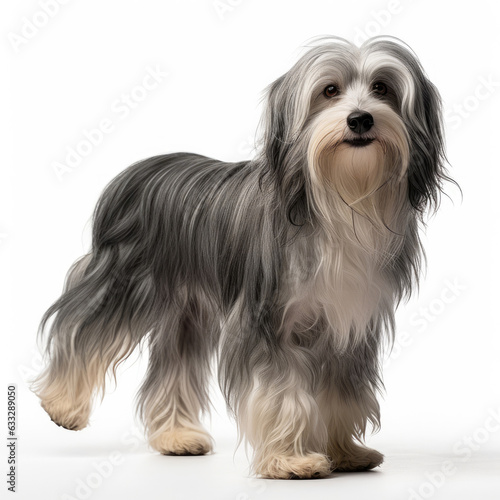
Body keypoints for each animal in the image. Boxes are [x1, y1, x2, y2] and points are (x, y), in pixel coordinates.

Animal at [33, 36, 452, 480]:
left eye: (382, 88)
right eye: (329, 90)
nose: (360, 120)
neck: (338, 201)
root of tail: (135, 170)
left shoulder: (350, 324)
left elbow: (343, 391)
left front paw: (344, 452)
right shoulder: (269, 319)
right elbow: (282, 390)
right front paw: (291, 460)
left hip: (185, 312)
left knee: (172, 369)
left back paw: (176, 437)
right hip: (122, 281)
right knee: (80, 327)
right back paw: (62, 406)